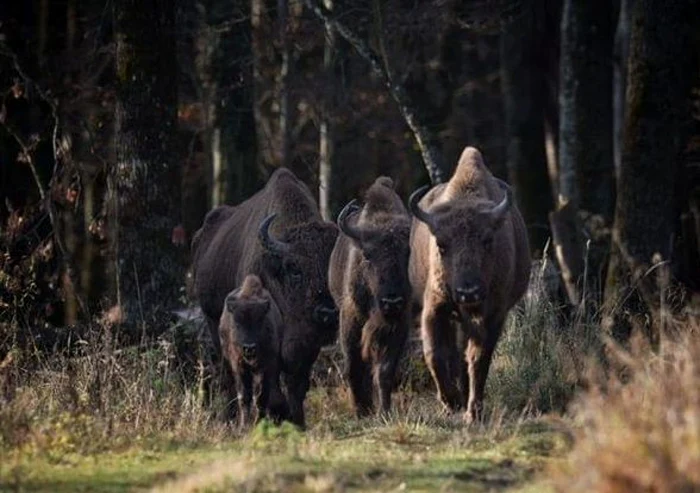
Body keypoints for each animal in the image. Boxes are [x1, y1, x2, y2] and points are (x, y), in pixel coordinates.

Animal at [216, 272, 288, 426]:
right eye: (237, 323)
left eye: (260, 322)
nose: (249, 348)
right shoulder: (238, 365)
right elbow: (244, 396)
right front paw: (243, 425)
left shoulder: (264, 366)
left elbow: (260, 396)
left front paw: (258, 422)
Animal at [326, 177, 410, 416]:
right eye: (367, 255)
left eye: (408, 253)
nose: (392, 302)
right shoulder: (350, 319)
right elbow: (354, 366)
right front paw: (361, 410)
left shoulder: (398, 325)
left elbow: (384, 370)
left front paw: (384, 412)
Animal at [408, 146, 528, 422]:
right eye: (441, 245)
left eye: (488, 240)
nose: (468, 292)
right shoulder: (435, 307)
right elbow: (435, 353)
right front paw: (450, 401)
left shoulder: (494, 314)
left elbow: (479, 358)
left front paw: (473, 411)